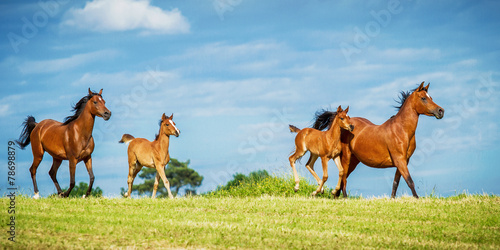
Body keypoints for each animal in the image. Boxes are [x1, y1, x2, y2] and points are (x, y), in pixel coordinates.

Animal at [312, 83, 446, 198]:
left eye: (431, 97)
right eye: (423, 98)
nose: (441, 111)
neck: (401, 130)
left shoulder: (404, 161)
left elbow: (396, 182)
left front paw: (393, 199)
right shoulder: (400, 160)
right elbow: (409, 181)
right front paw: (417, 199)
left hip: (354, 160)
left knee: (343, 177)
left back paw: (336, 196)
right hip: (346, 157)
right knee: (344, 177)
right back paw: (344, 197)